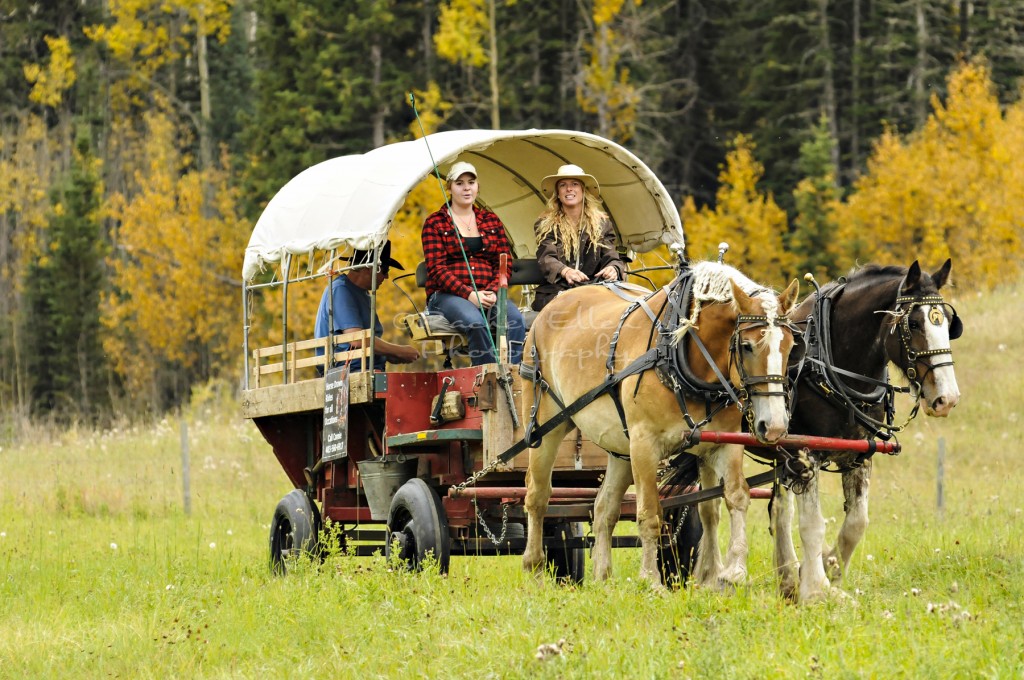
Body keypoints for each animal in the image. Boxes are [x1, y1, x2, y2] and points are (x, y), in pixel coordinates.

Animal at [520, 262, 798, 585]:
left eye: (791, 346)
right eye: (747, 345)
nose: (775, 426)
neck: (681, 353)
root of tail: (550, 308)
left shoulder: (724, 442)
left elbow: (732, 498)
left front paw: (733, 572)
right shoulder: (644, 444)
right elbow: (650, 512)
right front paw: (651, 579)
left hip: (620, 447)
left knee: (604, 508)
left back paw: (603, 578)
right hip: (546, 425)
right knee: (538, 496)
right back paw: (535, 570)